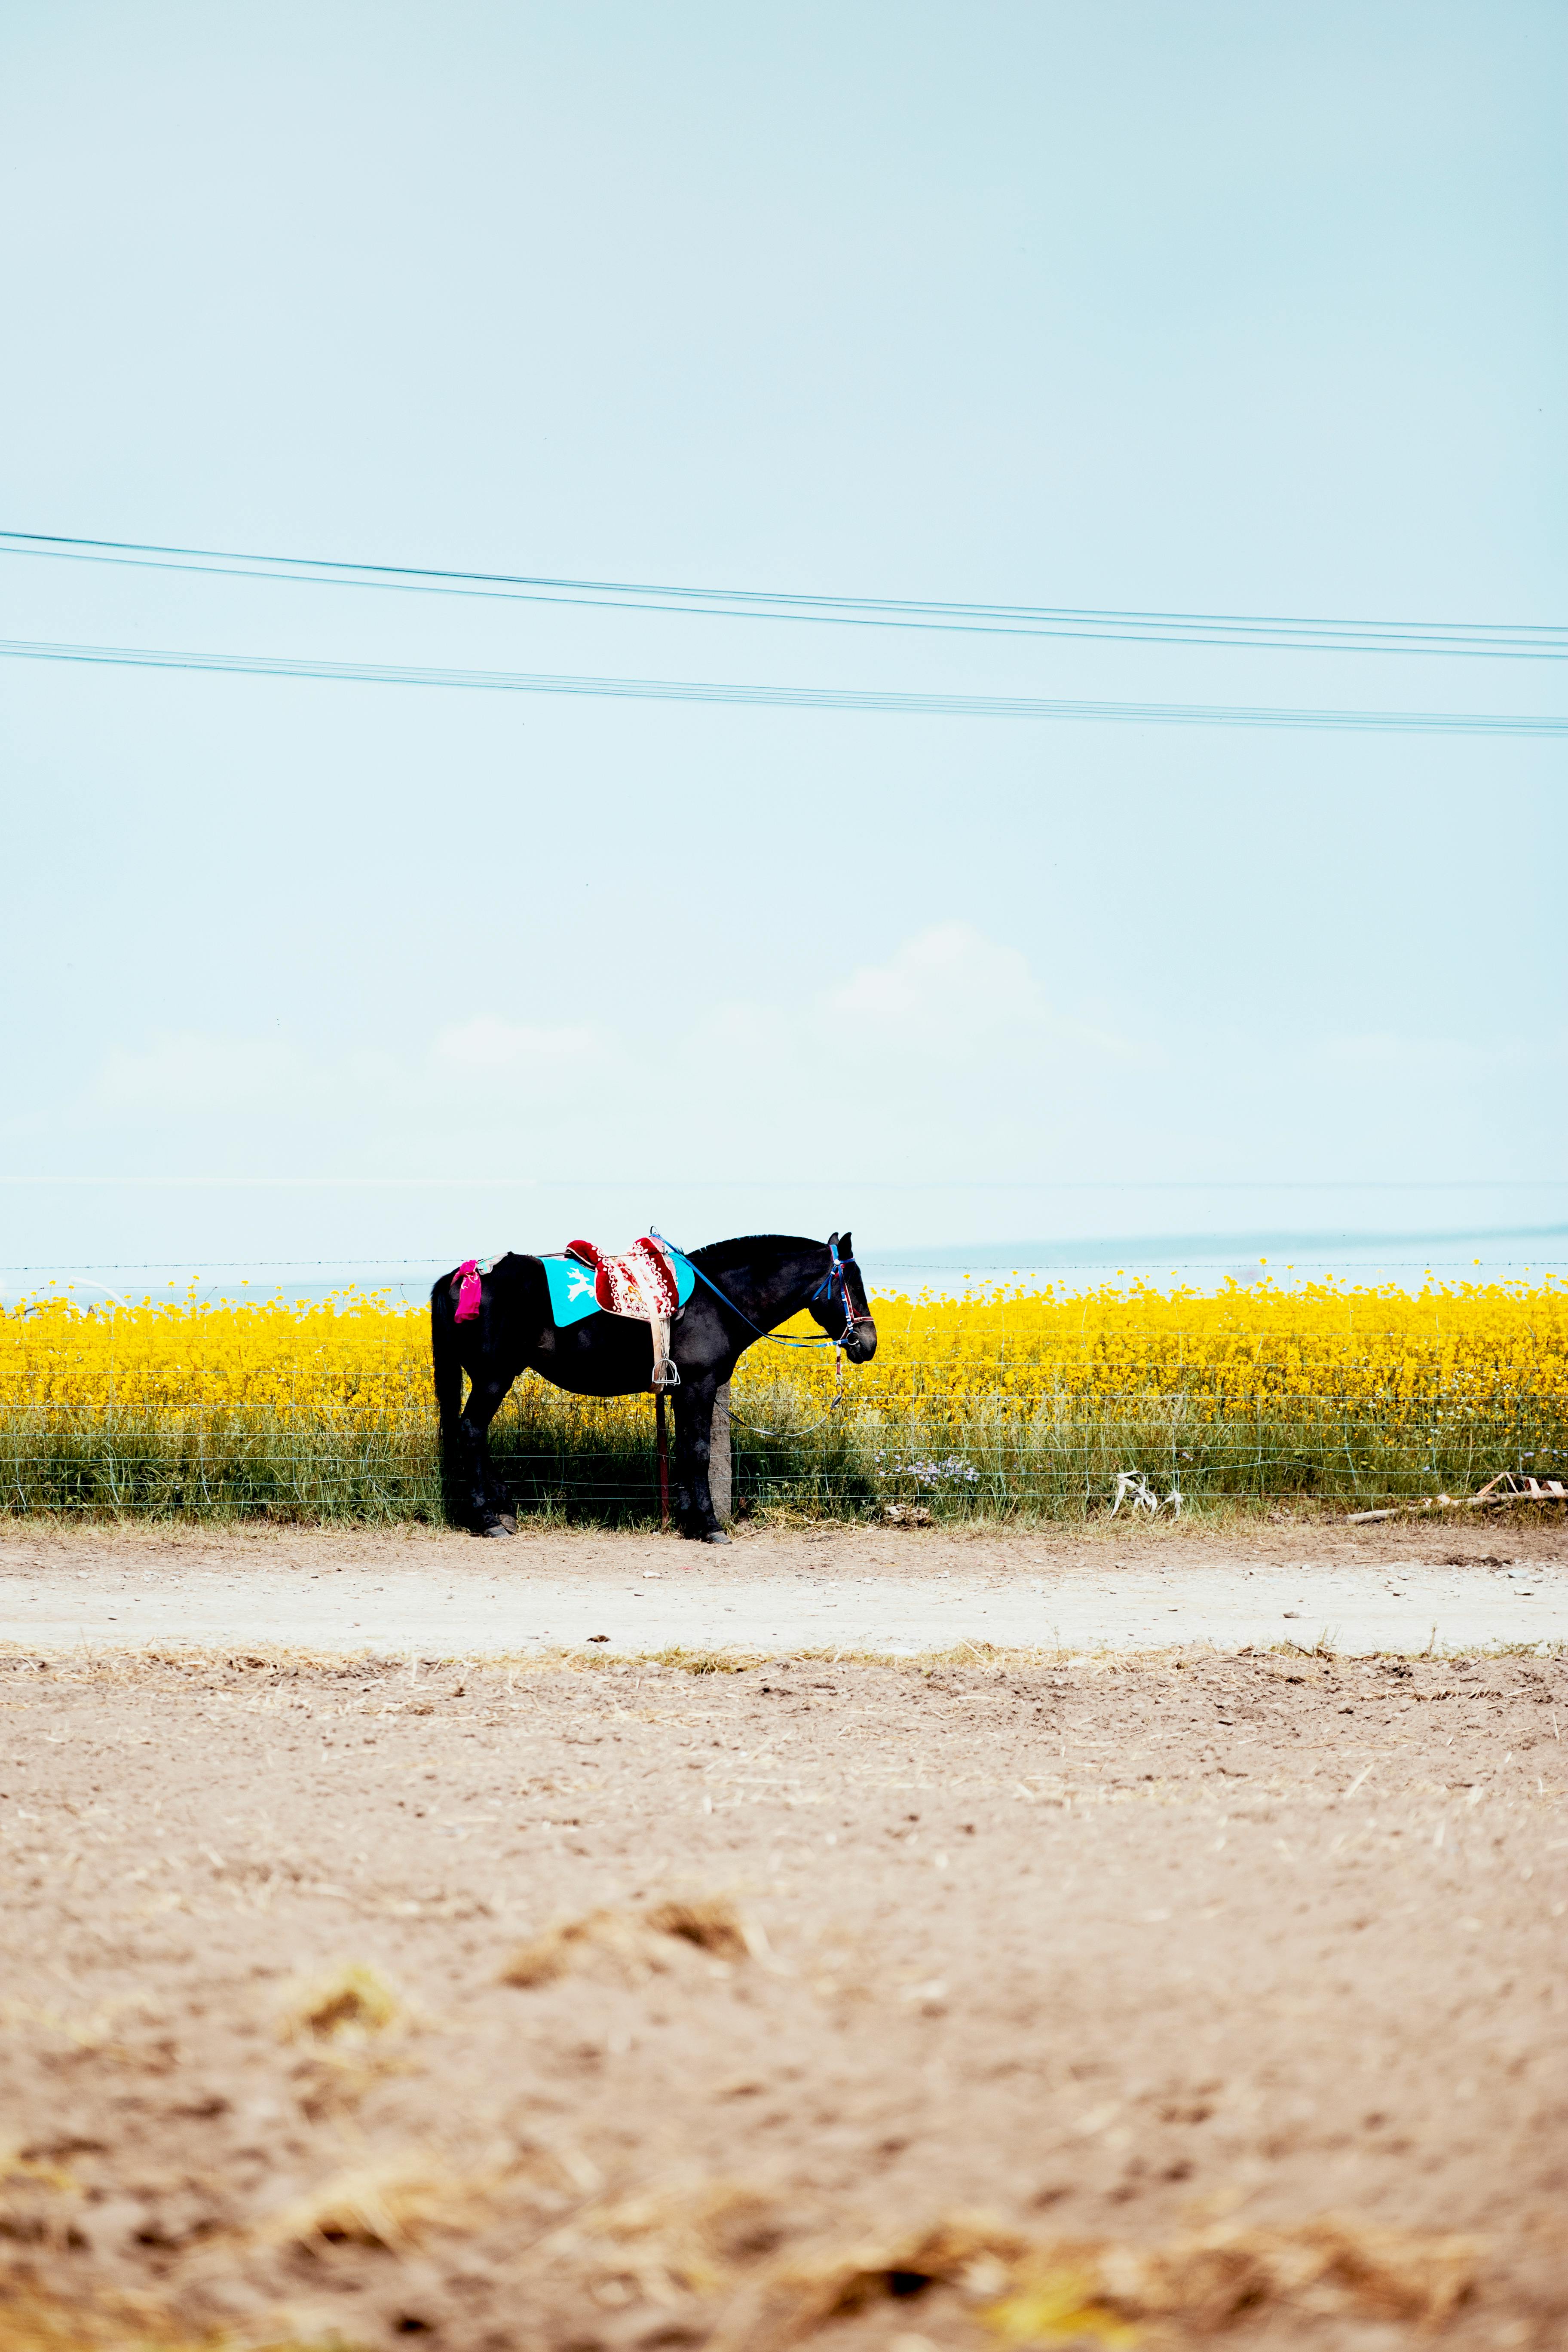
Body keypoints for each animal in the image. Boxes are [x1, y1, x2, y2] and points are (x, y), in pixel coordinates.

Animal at [429, 1231, 876, 1542]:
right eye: (852, 1282)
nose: (867, 1344)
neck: (717, 1300)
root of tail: (462, 1276)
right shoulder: (699, 1386)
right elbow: (699, 1452)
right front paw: (709, 1524)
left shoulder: (682, 1391)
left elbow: (682, 1450)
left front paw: (688, 1517)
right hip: (494, 1377)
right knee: (472, 1432)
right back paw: (488, 1518)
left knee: (470, 1434)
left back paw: (502, 1503)